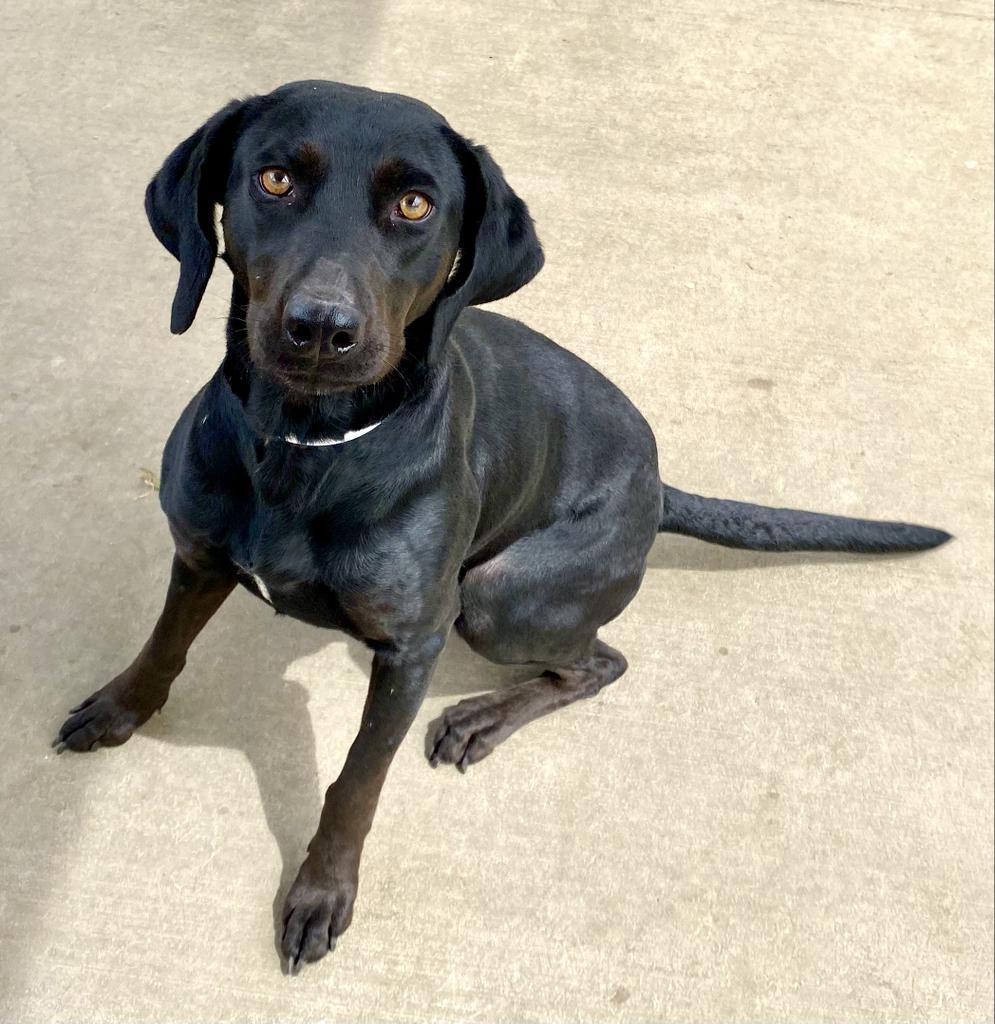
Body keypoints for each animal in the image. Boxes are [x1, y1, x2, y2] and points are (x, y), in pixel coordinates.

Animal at [54, 81, 949, 974]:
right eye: (274, 179)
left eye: (415, 204)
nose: (320, 328)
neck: (302, 448)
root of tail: (660, 491)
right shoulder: (199, 555)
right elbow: (162, 645)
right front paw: (119, 710)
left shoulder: (410, 647)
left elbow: (357, 780)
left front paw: (321, 892)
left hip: (497, 598)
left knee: (599, 662)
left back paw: (481, 716)